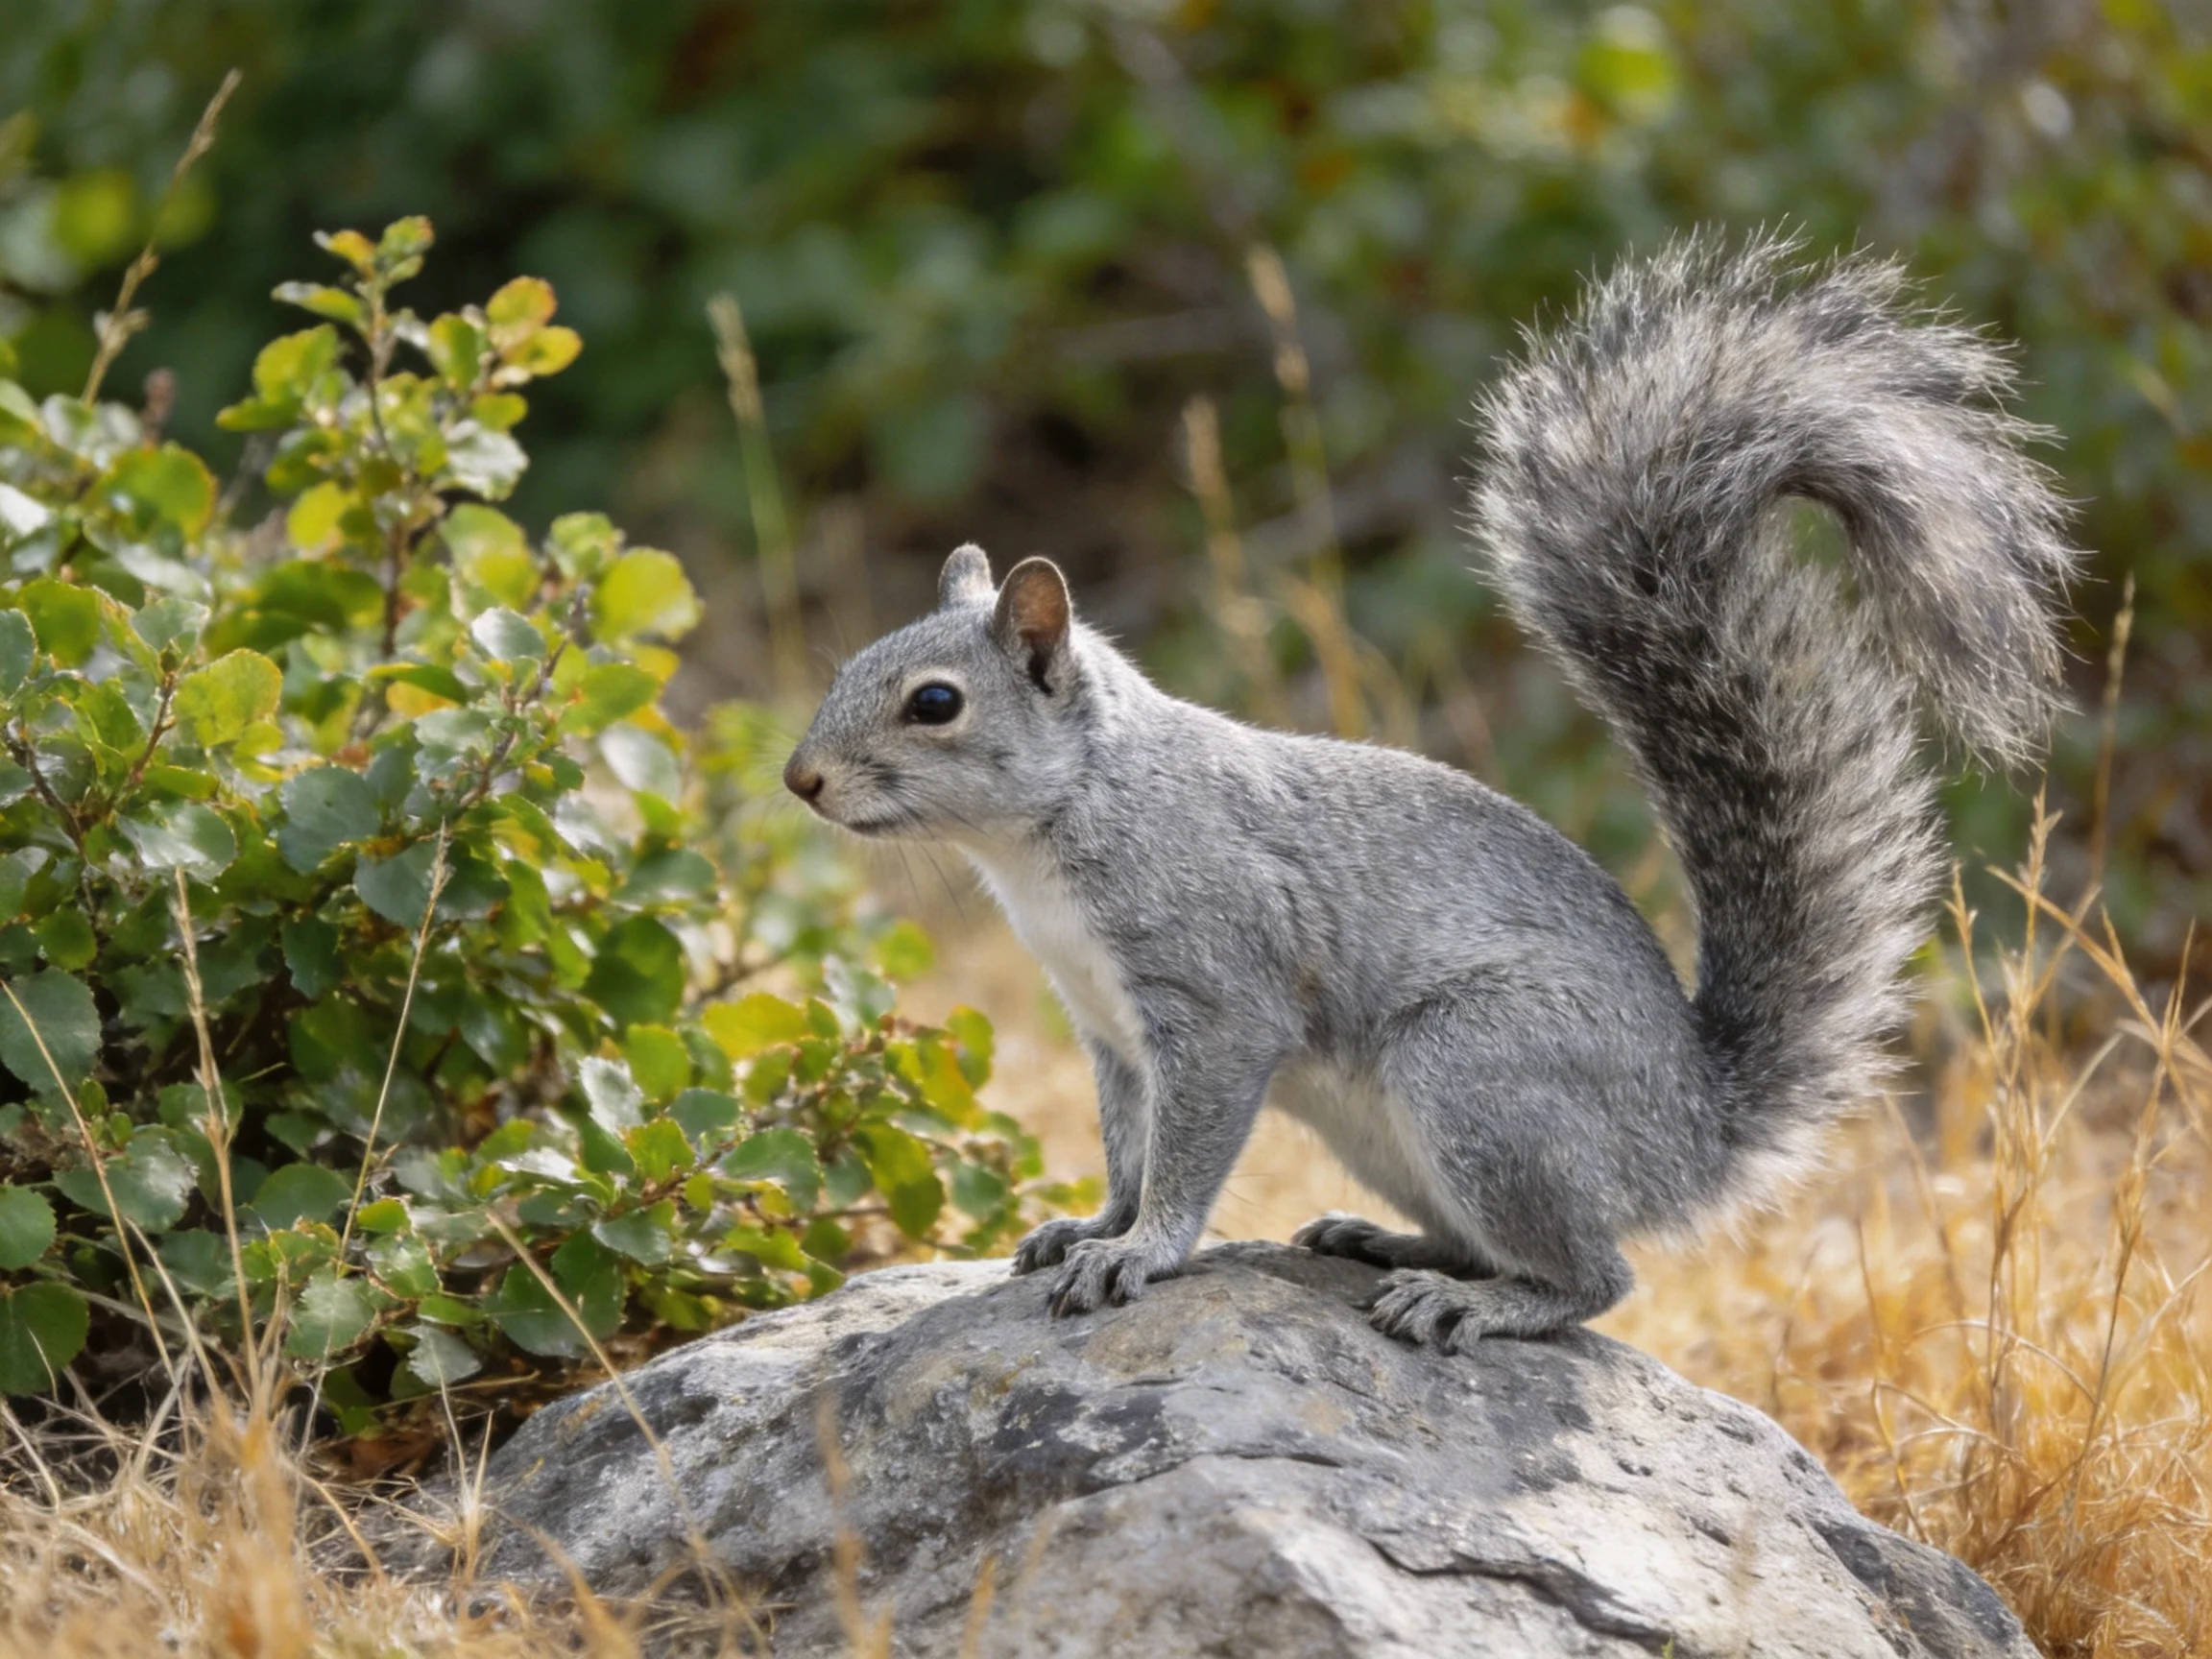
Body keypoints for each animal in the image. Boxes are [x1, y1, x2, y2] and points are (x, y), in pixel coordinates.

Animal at [783, 235, 2077, 1346]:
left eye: (935, 703)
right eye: (850, 666)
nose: (801, 779)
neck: (1064, 822)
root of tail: (1696, 1137)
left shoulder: (1215, 995)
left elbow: (1187, 1153)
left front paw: (1142, 1251)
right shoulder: (1108, 1031)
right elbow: (1125, 1145)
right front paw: (1091, 1225)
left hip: (1478, 1077)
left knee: (1595, 1277)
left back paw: (1480, 1305)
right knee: (1495, 1242)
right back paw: (1390, 1245)